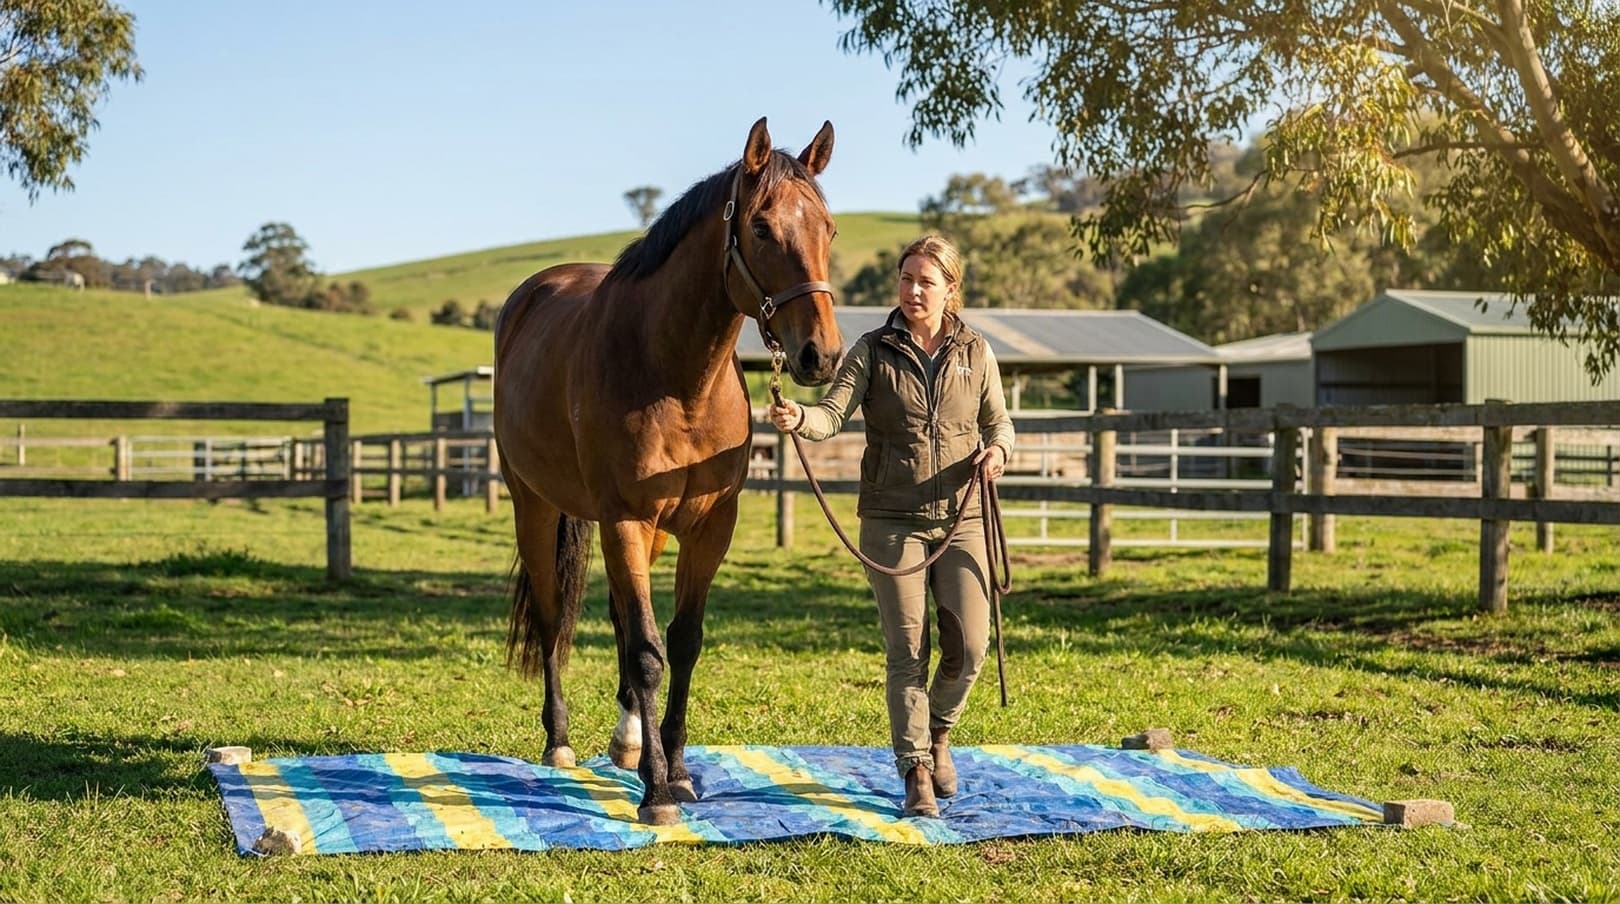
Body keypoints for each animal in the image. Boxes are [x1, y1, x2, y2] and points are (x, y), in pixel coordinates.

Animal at [493, 118, 843, 825]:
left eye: (829, 228)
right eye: (761, 228)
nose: (820, 355)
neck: (677, 380)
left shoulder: (709, 529)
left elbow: (680, 642)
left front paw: (675, 770)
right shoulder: (625, 518)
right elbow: (649, 654)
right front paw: (656, 794)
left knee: (621, 619)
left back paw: (628, 739)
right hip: (535, 506)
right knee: (553, 616)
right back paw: (560, 741)